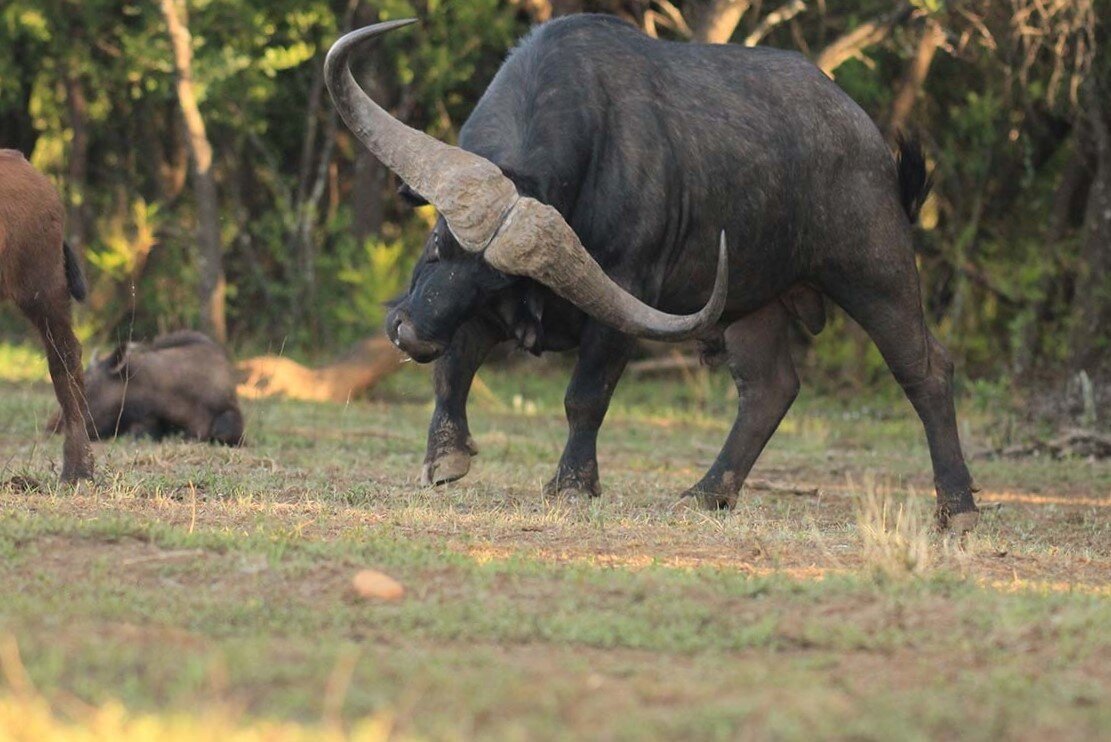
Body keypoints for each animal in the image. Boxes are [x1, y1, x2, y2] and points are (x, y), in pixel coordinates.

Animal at [324, 14, 982, 530]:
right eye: (438, 243)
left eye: (497, 279)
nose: (409, 333)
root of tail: (870, 144)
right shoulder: (473, 312)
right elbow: (454, 371)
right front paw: (446, 457)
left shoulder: (623, 295)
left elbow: (585, 396)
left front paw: (572, 485)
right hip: (752, 304)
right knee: (770, 387)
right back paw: (707, 493)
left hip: (876, 271)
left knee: (926, 370)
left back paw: (957, 507)